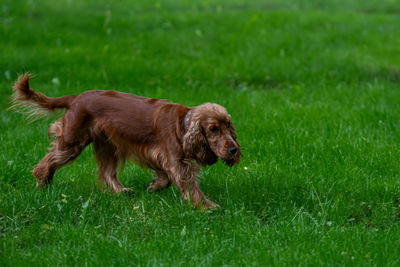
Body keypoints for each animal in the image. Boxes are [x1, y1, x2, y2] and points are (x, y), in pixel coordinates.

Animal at [10, 74, 241, 210]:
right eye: (213, 129)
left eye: (228, 125)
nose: (233, 149)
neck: (183, 125)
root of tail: (76, 97)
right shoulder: (176, 161)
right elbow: (191, 185)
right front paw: (207, 206)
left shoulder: (159, 155)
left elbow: (165, 177)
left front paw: (154, 186)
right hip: (73, 140)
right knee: (50, 159)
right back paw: (42, 181)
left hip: (107, 145)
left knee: (107, 172)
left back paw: (121, 191)